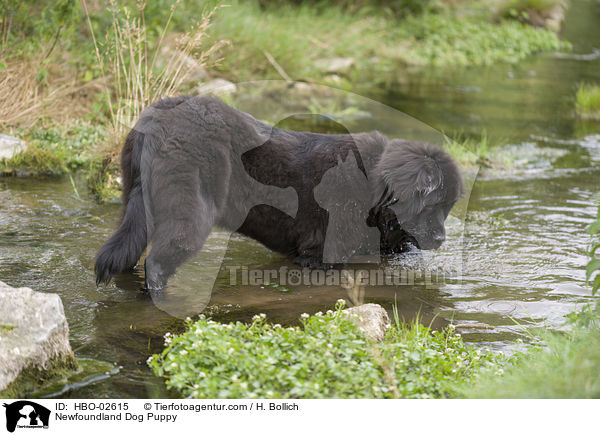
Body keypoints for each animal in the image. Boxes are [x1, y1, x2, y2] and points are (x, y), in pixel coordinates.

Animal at [96, 97, 464, 292]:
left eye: (447, 207)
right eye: (432, 205)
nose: (442, 238)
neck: (373, 187)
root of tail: (158, 118)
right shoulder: (321, 255)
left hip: (134, 204)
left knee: (123, 251)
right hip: (189, 213)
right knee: (158, 261)